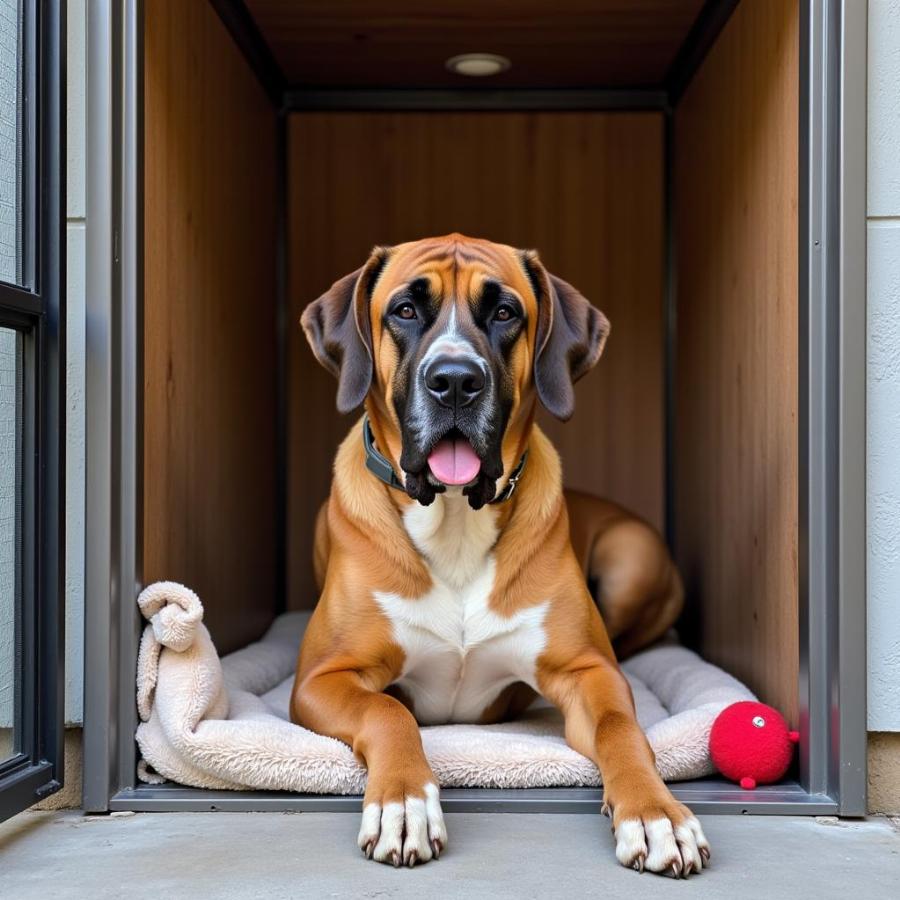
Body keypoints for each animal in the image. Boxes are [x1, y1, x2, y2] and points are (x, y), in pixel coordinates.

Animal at [292, 234, 708, 880]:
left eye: (505, 312)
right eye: (404, 311)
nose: (455, 381)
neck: (455, 518)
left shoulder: (590, 671)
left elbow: (621, 728)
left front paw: (655, 811)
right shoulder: (322, 678)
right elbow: (387, 712)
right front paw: (404, 804)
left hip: (632, 558)